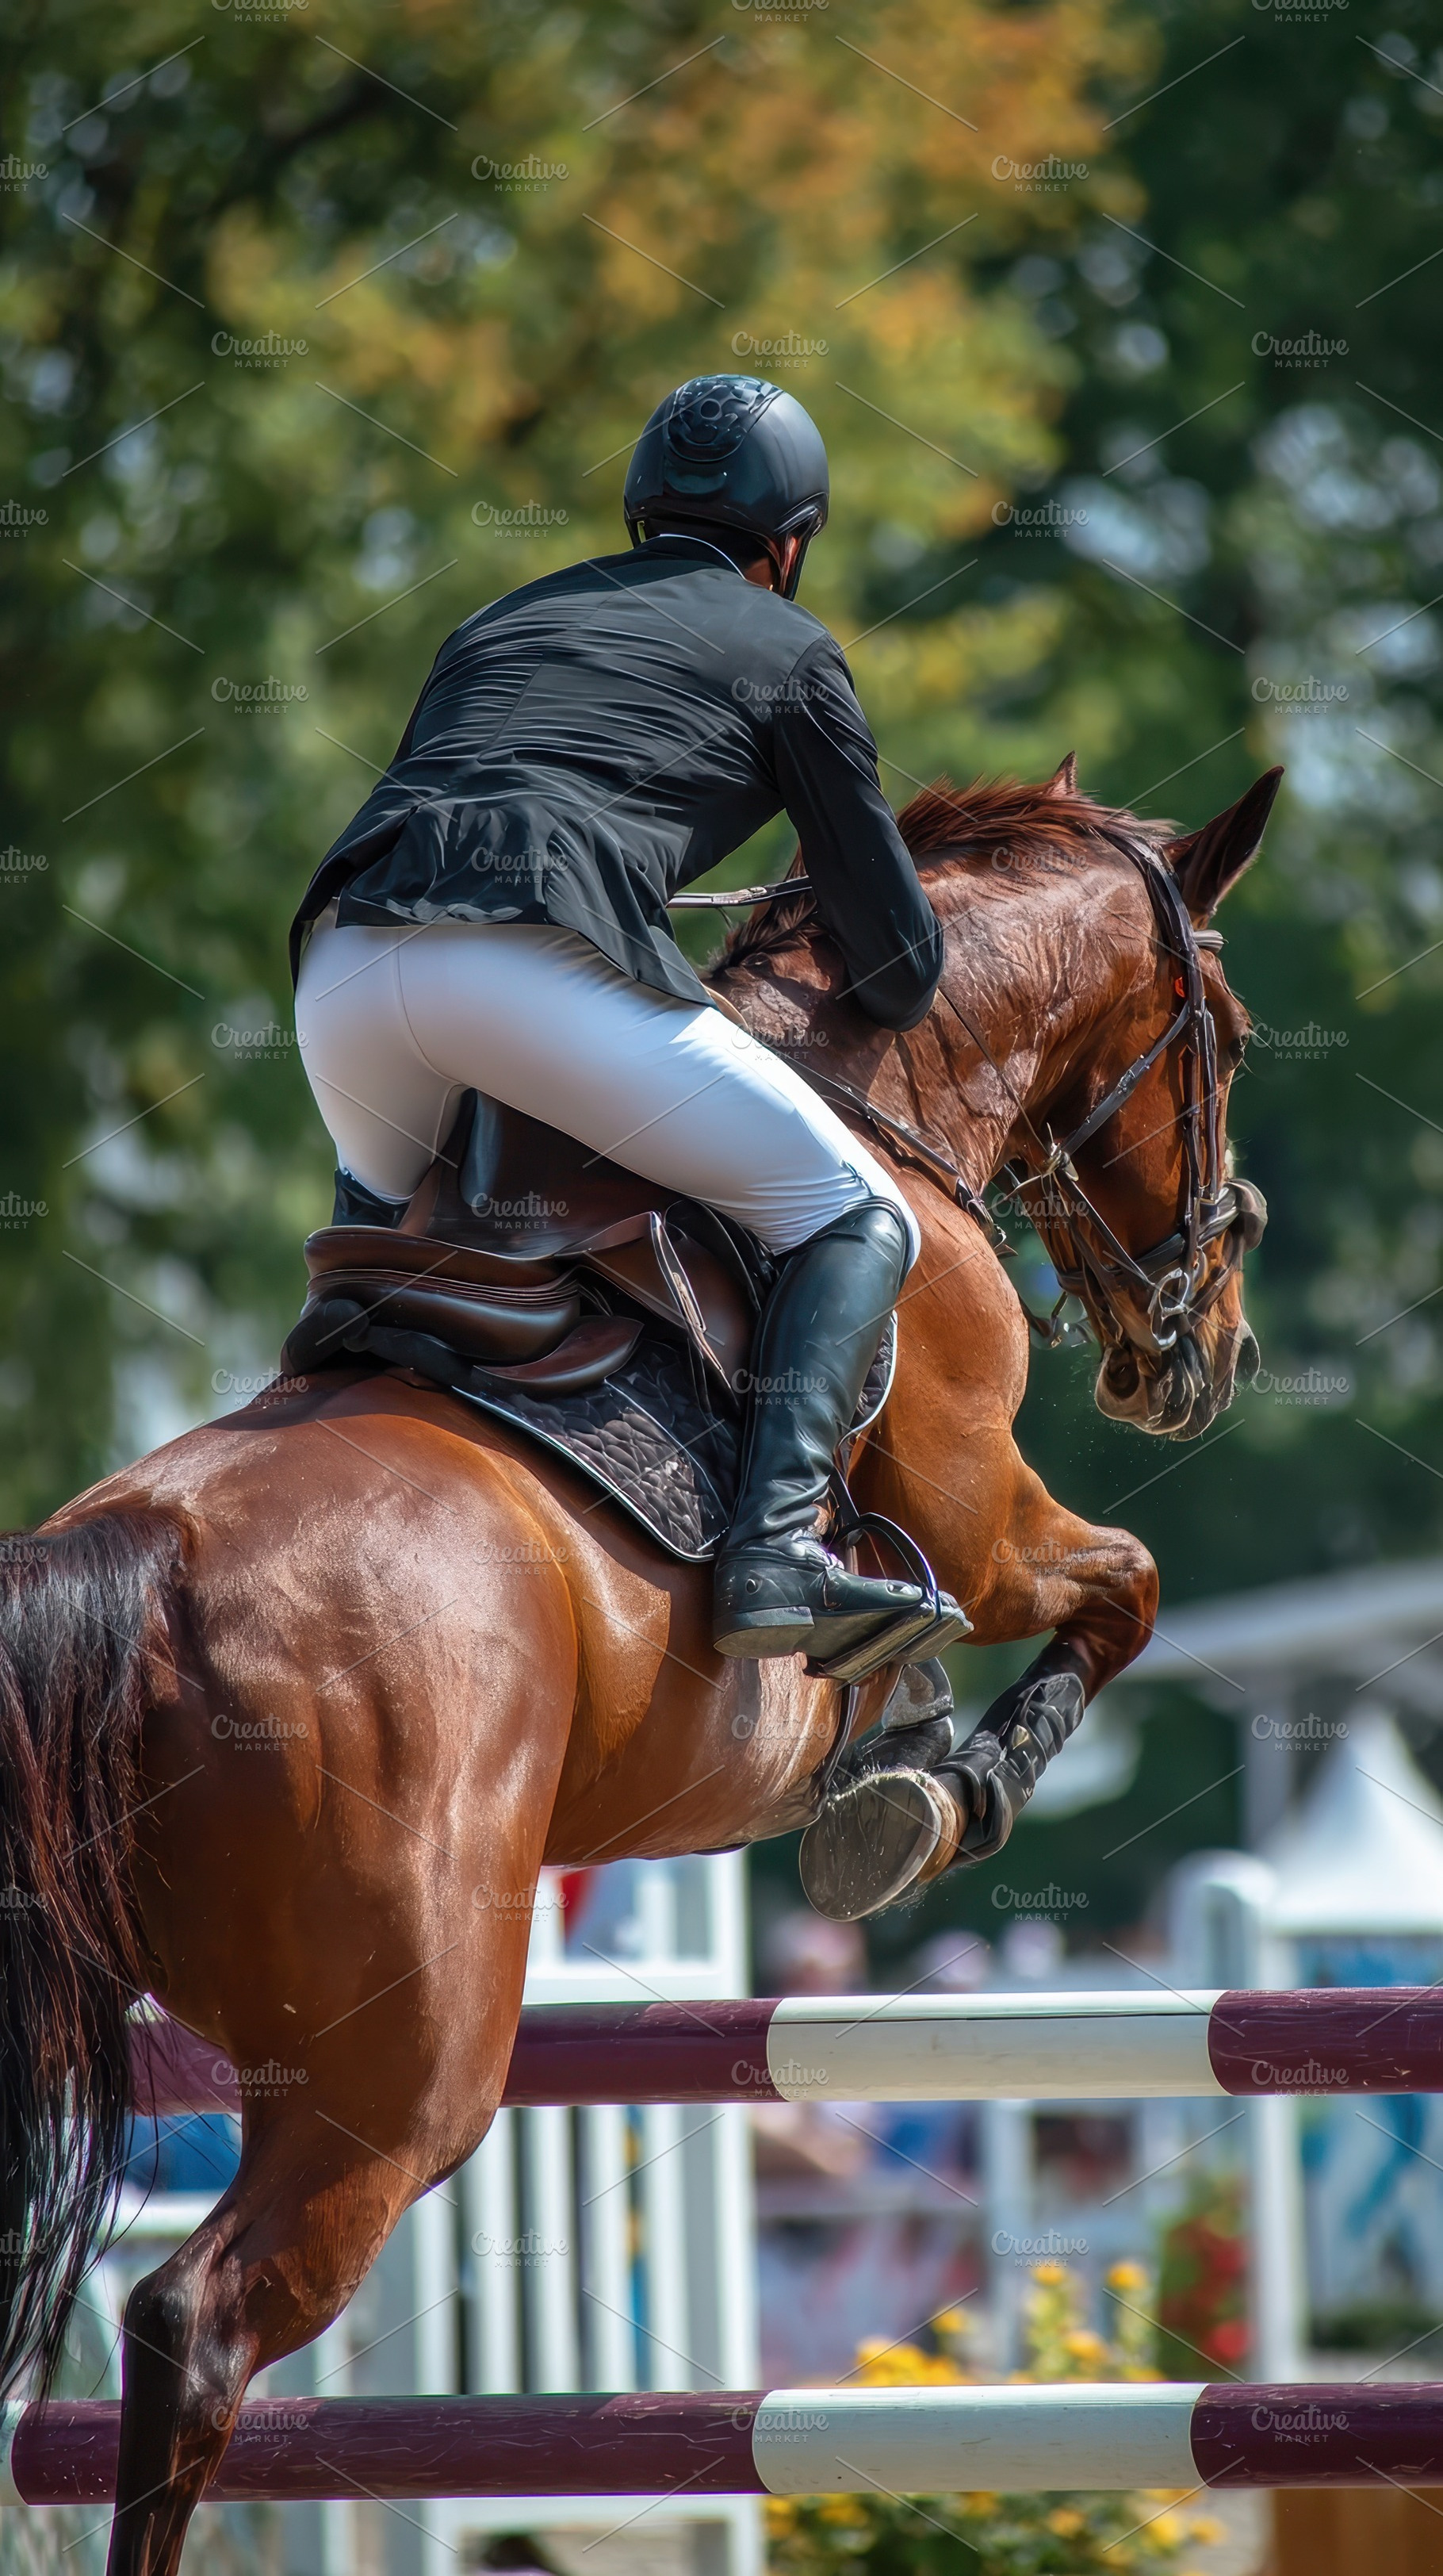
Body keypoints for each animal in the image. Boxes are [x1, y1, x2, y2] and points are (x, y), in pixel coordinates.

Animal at [0, 756, 1273, 2576]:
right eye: (1223, 1035)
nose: (1205, 1348)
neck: (882, 1102)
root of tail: (127, 1564)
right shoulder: (982, 1520)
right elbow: (1126, 1588)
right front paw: (944, 1792)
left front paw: (906, 1752)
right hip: (398, 2075)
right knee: (198, 2319)